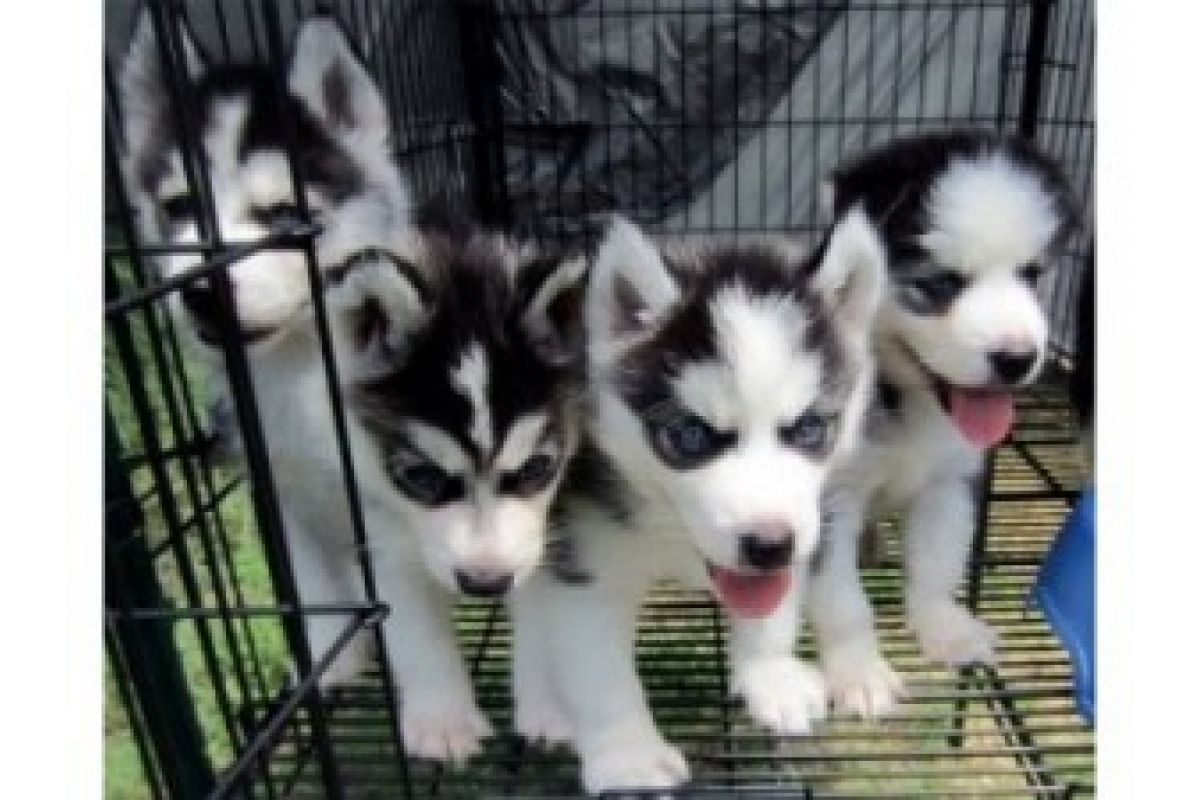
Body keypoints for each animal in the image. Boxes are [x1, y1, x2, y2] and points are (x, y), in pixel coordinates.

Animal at [510, 210, 886, 793]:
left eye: (808, 428)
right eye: (690, 435)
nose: (769, 545)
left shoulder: (805, 524)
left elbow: (776, 609)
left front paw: (768, 676)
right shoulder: (581, 555)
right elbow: (598, 669)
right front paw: (629, 755)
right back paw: (543, 703)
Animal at [807, 131, 1078, 718]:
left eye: (1032, 275)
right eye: (940, 283)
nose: (1018, 358)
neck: (908, 398)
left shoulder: (951, 479)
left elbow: (937, 562)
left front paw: (946, 630)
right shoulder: (827, 496)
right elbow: (841, 598)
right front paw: (859, 673)